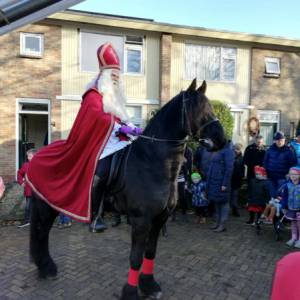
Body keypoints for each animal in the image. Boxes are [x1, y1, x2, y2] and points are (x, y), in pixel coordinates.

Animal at [29, 79, 225, 300]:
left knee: (42, 232)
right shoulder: (141, 221)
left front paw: (149, 285)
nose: (221, 140)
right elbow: (136, 258)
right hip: (46, 205)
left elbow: (150, 253)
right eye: (198, 108)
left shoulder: (159, 219)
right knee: (41, 232)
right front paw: (131, 292)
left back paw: (45, 267)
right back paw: (46, 267)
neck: (151, 162)